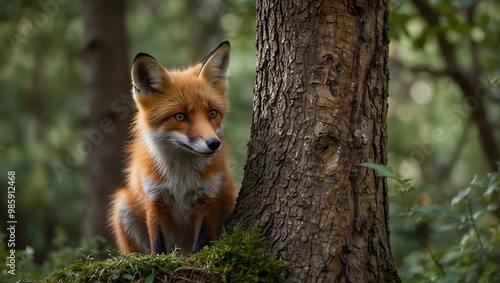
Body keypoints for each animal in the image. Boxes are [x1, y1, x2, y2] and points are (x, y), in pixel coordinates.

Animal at [108, 41, 237, 256]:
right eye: (180, 116)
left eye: (212, 113)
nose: (214, 144)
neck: (181, 176)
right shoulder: (155, 199)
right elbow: (158, 242)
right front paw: (158, 260)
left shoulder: (209, 198)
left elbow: (202, 243)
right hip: (122, 205)